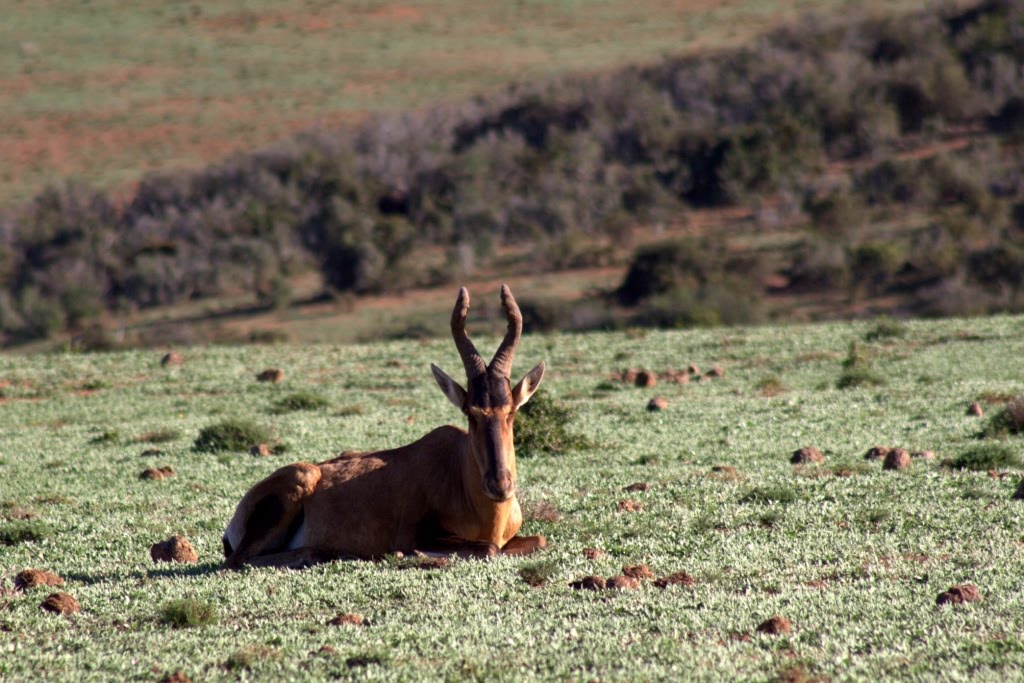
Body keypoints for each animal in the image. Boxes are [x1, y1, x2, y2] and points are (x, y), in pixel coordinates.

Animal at [222, 285, 548, 569]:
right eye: (471, 412)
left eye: (511, 411)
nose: (500, 485)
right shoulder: (416, 534)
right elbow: (488, 548)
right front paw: (411, 554)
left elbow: (538, 540)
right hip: (297, 484)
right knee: (239, 561)